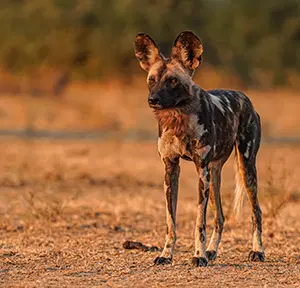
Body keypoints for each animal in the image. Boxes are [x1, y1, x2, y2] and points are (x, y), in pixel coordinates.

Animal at [135, 30, 264, 266]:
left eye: (173, 81)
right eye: (151, 80)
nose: (152, 99)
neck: (179, 118)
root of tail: (244, 97)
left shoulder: (200, 171)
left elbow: (199, 222)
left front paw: (198, 255)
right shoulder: (170, 169)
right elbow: (171, 222)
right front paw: (166, 254)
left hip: (246, 169)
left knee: (256, 211)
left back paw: (257, 250)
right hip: (214, 176)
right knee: (220, 217)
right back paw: (213, 250)